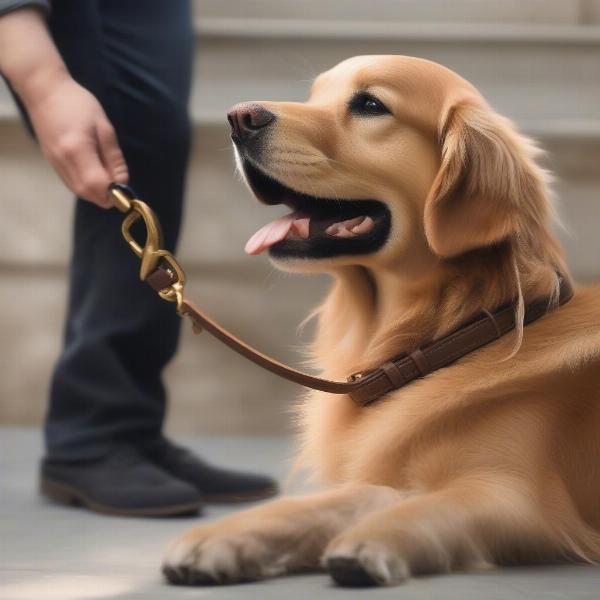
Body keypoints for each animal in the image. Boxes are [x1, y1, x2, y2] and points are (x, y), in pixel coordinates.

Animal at [163, 55, 600, 584]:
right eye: (314, 95)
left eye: (370, 105)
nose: (238, 117)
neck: (453, 335)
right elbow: (340, 500)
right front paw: (224, 536)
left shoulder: (524, 502)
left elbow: (434, 508)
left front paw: (371, 542)